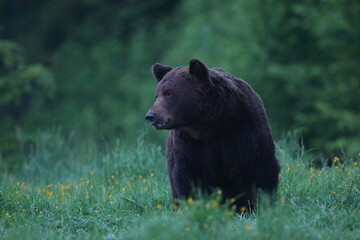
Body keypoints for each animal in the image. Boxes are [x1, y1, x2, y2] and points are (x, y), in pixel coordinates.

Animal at [145, 59, 280, 211]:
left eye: (169, 93)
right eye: (157, 95)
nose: (150, 116)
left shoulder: (243, 132)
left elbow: (254, 168)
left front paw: (251, 206)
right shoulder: (190, 142)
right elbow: (190, 174)